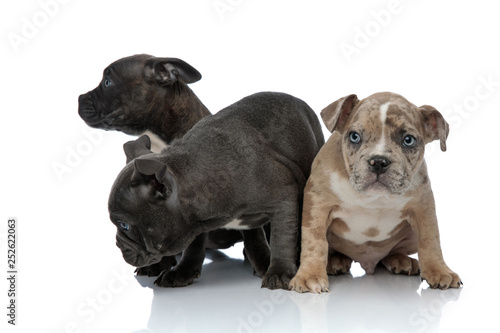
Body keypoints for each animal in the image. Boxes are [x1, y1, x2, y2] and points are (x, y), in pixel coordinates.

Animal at [108, 91, 324, 288]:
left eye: (124, 225)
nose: (118, 244)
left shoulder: (283, 200)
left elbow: (282, 239)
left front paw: (278, 272)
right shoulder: (193, 221)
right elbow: (194, 246)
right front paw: (182, 272)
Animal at [292, 92, 462, 292]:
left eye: (408, 140)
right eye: (354, 137)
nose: (379, 161)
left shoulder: (423, 207)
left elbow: (431, 240)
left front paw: (439, 271)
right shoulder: (318, 203)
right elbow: (314, 240)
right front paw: (309, 275)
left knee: (394, 252)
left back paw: (401, 261)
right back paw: (335, 261)